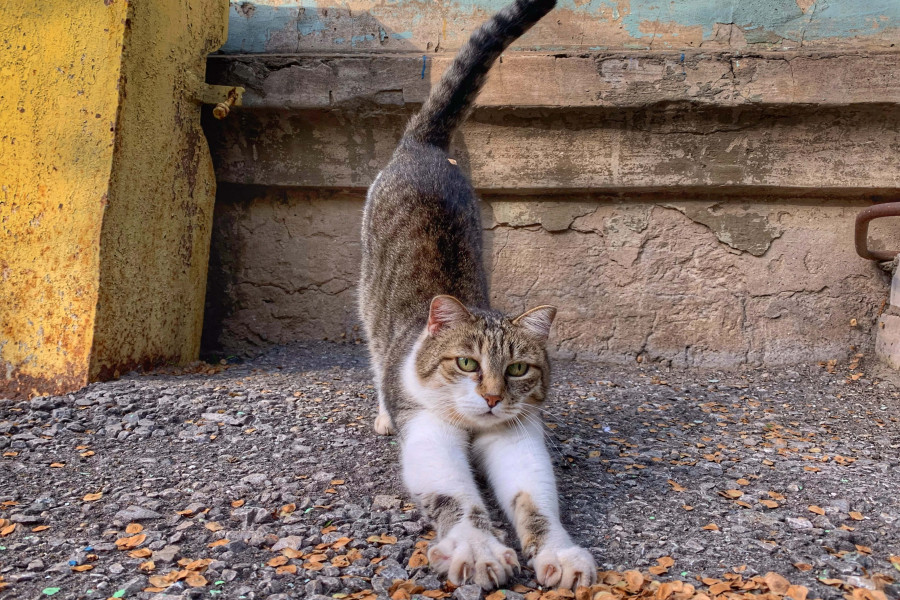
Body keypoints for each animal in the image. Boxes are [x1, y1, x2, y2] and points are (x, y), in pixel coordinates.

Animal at [358, 0, 596, 592]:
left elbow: (535, 500)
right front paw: (478, 548)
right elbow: (456, 498)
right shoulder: (428, 432)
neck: (473, 426)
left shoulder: (517, 435)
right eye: (466, 363)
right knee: (373, 354)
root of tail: (423, 146)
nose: (489, 397)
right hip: (366, 299)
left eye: (517, 370)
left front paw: (558, 553)